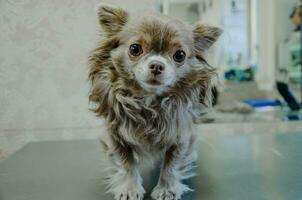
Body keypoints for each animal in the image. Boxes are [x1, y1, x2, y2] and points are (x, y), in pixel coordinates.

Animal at [88, 4, 221, 200]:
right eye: (135, 49)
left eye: (179, 55)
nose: (157, 65)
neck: (149, 102)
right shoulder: (116, 137)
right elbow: (126, 163)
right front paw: (129, 188)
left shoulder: (180, 137)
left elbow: (171, 165)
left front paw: (167, 189)